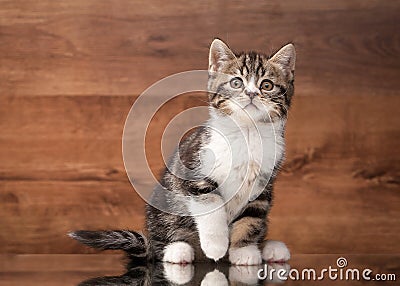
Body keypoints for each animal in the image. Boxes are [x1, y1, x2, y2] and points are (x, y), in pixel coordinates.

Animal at [69, 38, 296, 266]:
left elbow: (251, 220)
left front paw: (244, 250)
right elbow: (211, 206)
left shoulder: (262, 188)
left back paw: (270, 249)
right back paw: (178, 250)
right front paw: (216, 245)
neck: (247, 133)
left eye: (266, 85)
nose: (251, 94)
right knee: (161, 243)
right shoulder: (196, 172)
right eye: (236, 83)